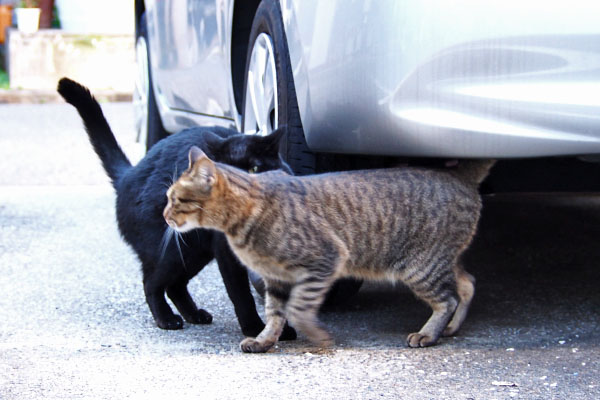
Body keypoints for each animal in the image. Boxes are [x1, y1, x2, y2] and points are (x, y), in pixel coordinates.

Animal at [57, 76, 296, 340]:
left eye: (254, 168)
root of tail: (129, 175)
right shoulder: (226, 255)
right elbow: (241, 295)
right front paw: (254, 329)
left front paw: (281, 330)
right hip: (173, 249)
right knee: (152, 282)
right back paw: (166, 318)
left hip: (194, 252)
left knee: (175, 285)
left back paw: (194, 315)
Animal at [163, 147, 492, 354]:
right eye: (167, 197)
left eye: (176, 199)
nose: (164, 215)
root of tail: (458, 175)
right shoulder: (275, 279)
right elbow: (275, 314)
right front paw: (264, 340)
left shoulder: (325, 260)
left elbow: (298, 309)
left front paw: (317, 335)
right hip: (440, 261)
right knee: (468, 284)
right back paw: (450, 328)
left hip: (420, 267)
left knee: (447, 299)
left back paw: (429, 333)